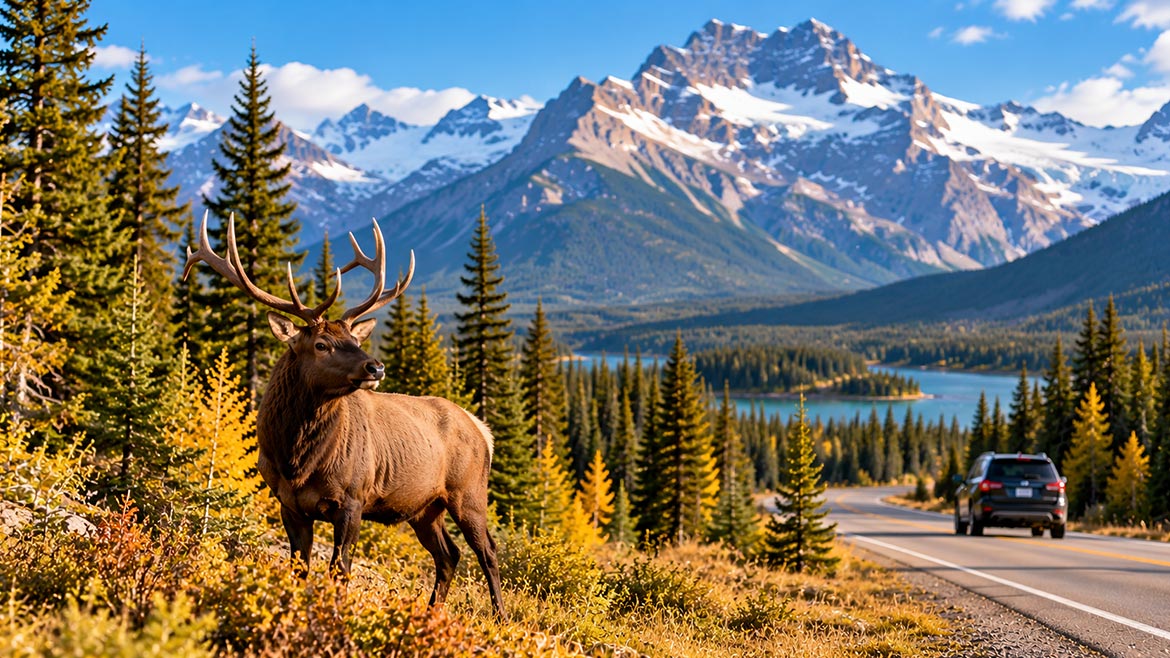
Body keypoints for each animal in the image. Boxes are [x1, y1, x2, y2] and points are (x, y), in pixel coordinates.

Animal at [183, 211, 505, 618]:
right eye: (322, 344)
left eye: (355, 339)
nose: (376, 367)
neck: (296, 460)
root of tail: (482, 430)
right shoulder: (288, 503)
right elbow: (299, 569)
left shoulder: (353, 499)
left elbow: (340, 570)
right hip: (425, 508)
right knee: (449, 555)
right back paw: (430, 614)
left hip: (469, 492)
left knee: (487, 551)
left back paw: (500, 618)